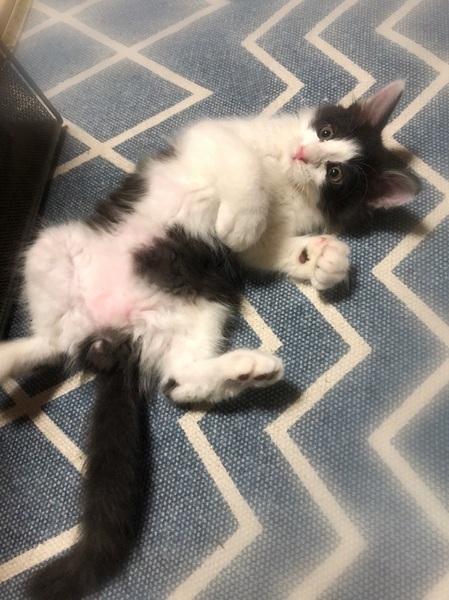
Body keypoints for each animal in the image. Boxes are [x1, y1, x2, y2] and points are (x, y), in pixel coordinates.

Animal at [0, 81, 419, 599]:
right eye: (325, 131)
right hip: (52, 247)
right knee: (53, 338)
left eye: (336, 172)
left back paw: (248, 370)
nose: (305, 153)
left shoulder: (267, 243)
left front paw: (325, 260)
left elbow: (266, 249)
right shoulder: (214, 136)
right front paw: (245, 217)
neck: (285, 178)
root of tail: (112, 337)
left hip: (203, 305)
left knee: (171, 379)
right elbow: (241, 163)